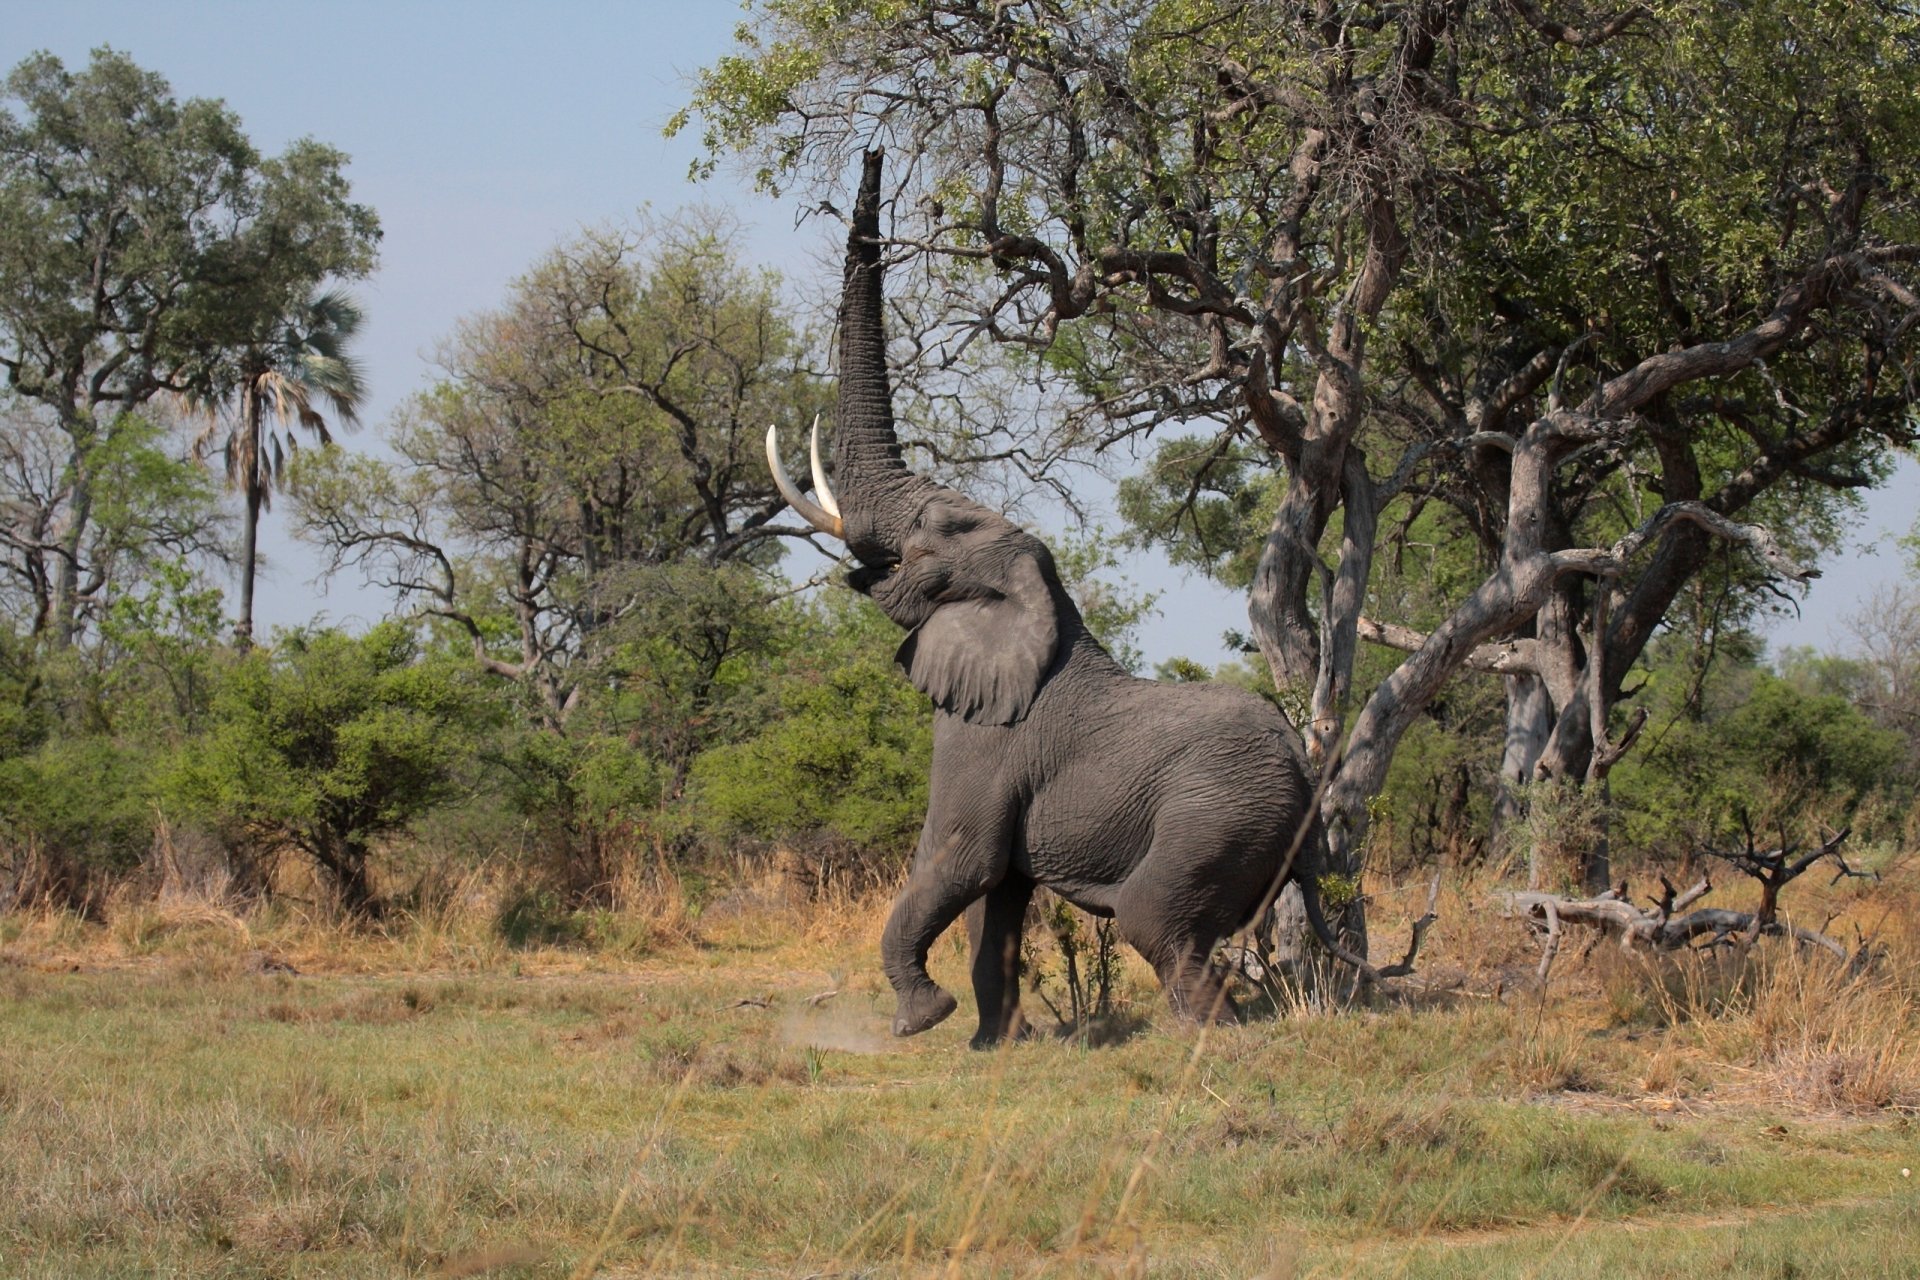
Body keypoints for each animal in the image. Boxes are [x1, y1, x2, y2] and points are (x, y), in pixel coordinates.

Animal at [756, 152, 1374, 1051]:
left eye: (935, 533)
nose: (873, 154)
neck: (1038, 601)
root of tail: (1304, 766)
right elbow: (997, 901)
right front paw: (992, 1045)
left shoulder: (985, 739)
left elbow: (960, 861)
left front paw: (921, 1021)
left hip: (1216, 817)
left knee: (1158, 921)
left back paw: (1206, 1036)